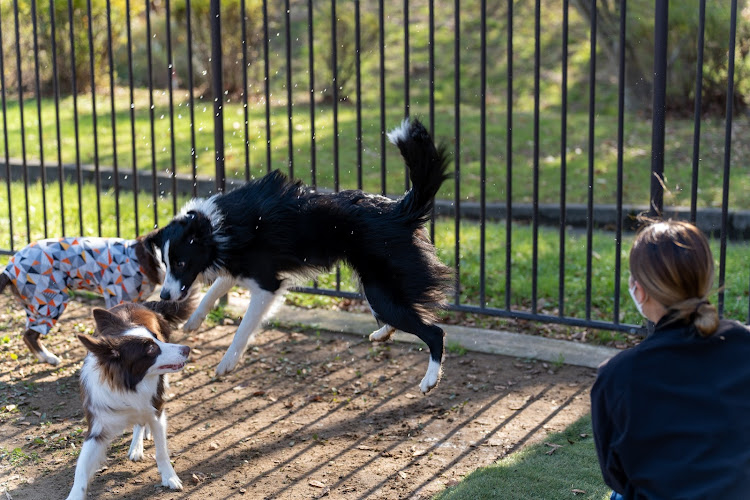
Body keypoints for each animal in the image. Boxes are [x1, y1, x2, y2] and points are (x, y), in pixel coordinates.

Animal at [65, 294, 194, 498]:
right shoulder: (97, 427)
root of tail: (139, 303)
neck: (129, 386)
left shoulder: (155, 408)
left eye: (157, 338)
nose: (187, 349)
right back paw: (136, 446)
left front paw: (170, 477)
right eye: (150, 349)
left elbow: (161, 451)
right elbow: (81, 469)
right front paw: (75, 495)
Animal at [150, 118, 450, 394]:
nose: (163, 296)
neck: (215, 227)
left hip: (380, 290)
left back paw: (429, 380)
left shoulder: (267, 285)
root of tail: (400, 209)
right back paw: (382, 332)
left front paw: (227, 363)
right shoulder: (241, 268)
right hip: (379, 289)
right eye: (165, 262)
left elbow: (244, 327)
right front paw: (193, 321)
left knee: (435, 333)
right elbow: (213, 291)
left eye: (181, 262)